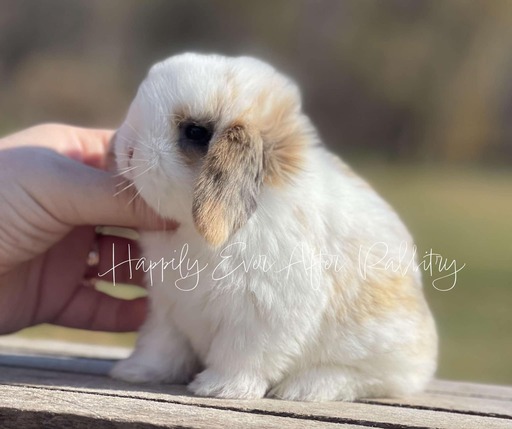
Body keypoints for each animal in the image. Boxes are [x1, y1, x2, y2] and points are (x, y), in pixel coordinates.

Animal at [110, 53, 438, 402]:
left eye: (195, 132)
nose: (126, 152)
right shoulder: (168, 310)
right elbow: (162, 347)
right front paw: (135, 372)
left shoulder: (260, 315)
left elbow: (241, 355)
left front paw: (220, 388)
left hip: (379, 351)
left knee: (367, 379)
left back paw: (304, 388)